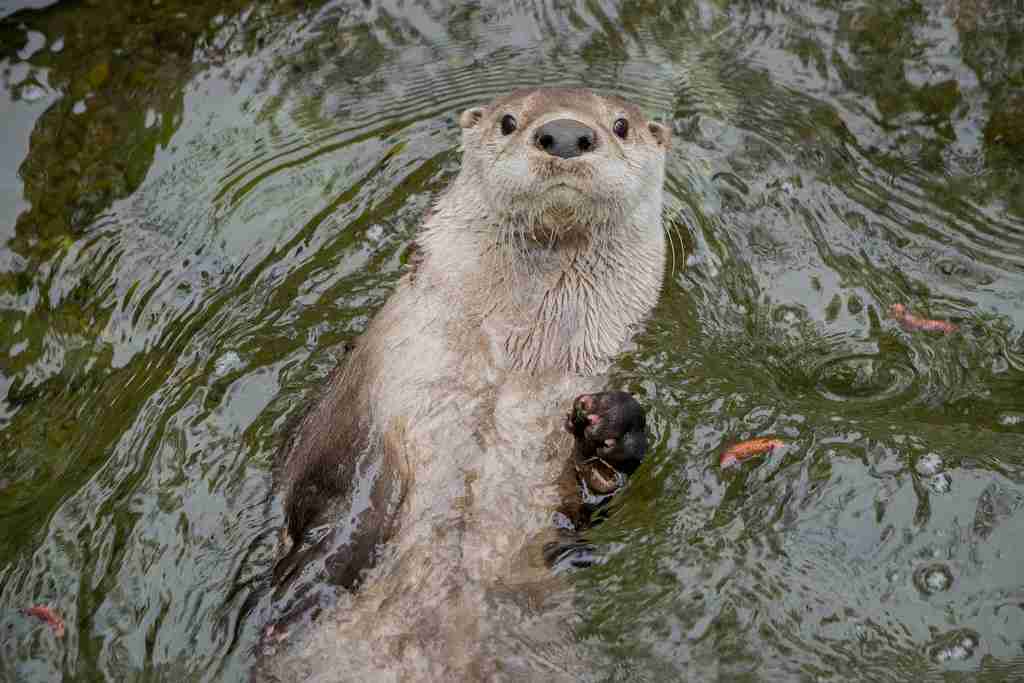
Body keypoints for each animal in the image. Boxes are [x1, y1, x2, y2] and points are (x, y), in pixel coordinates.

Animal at [255, 87, 671, 681]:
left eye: (620, 125)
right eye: (508, 121)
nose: (567, 134)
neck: (502, 368)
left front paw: (608, 422)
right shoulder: (362, 404)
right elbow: (330, 496)